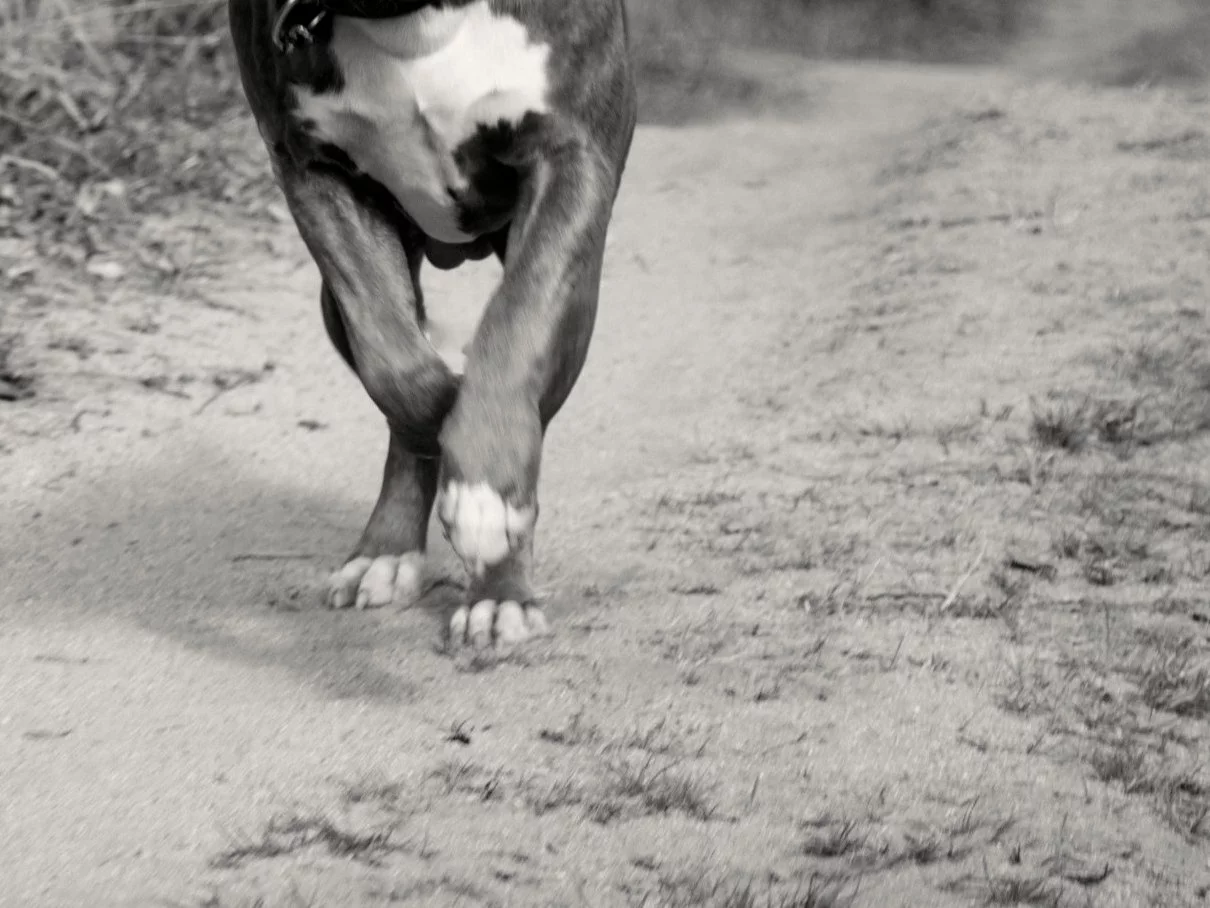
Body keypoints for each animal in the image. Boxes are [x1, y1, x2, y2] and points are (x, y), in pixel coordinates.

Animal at [228, 0, 643, 648]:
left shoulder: (569, 159)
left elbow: (516, 325)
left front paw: (486, 491)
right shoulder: (314, 175)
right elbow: (393, 362)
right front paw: (450, 431)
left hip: (580, 303)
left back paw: (500, 592)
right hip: (333, 303)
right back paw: (387, 550)